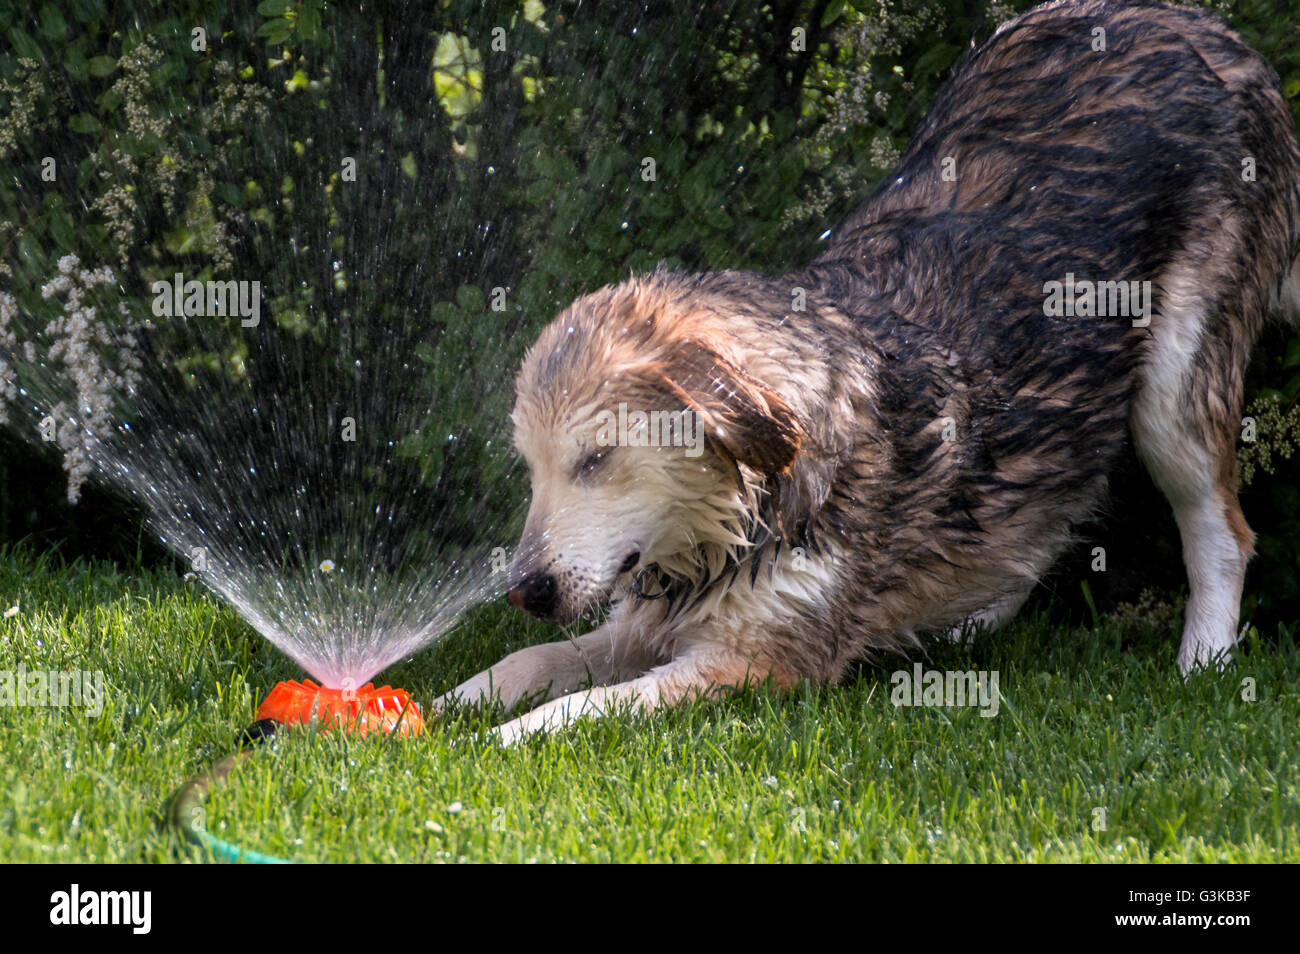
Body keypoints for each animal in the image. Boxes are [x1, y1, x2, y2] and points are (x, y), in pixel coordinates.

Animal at [444, 0, 1300, 748]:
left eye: (596, 461)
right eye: (532, 472)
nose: (523, 590)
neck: (743, 514)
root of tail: (1207, 27)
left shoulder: (759, 661)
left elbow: (587, 706)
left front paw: (500, 740)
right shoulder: (648, 620)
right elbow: (534, 659)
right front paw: (455, 703)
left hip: (1176, 389)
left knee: (1221, 529)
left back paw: (1203, 661)